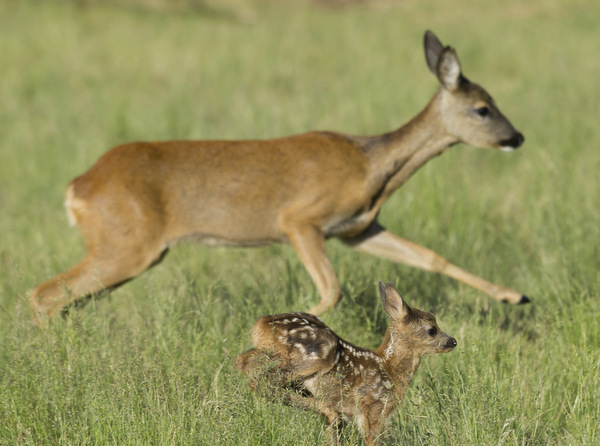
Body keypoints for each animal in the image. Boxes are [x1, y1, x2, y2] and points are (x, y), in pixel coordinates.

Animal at [29, 30, 524, 320]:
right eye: (483, 108)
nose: (517, 136)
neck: (372, 168)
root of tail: (78, 186)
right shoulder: (300, 219)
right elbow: (331, 290)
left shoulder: (357, 229)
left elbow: (429, 256)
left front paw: (514, 296)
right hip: (126, 245)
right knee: (43, 294)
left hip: (127, 250)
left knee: (65, 299)